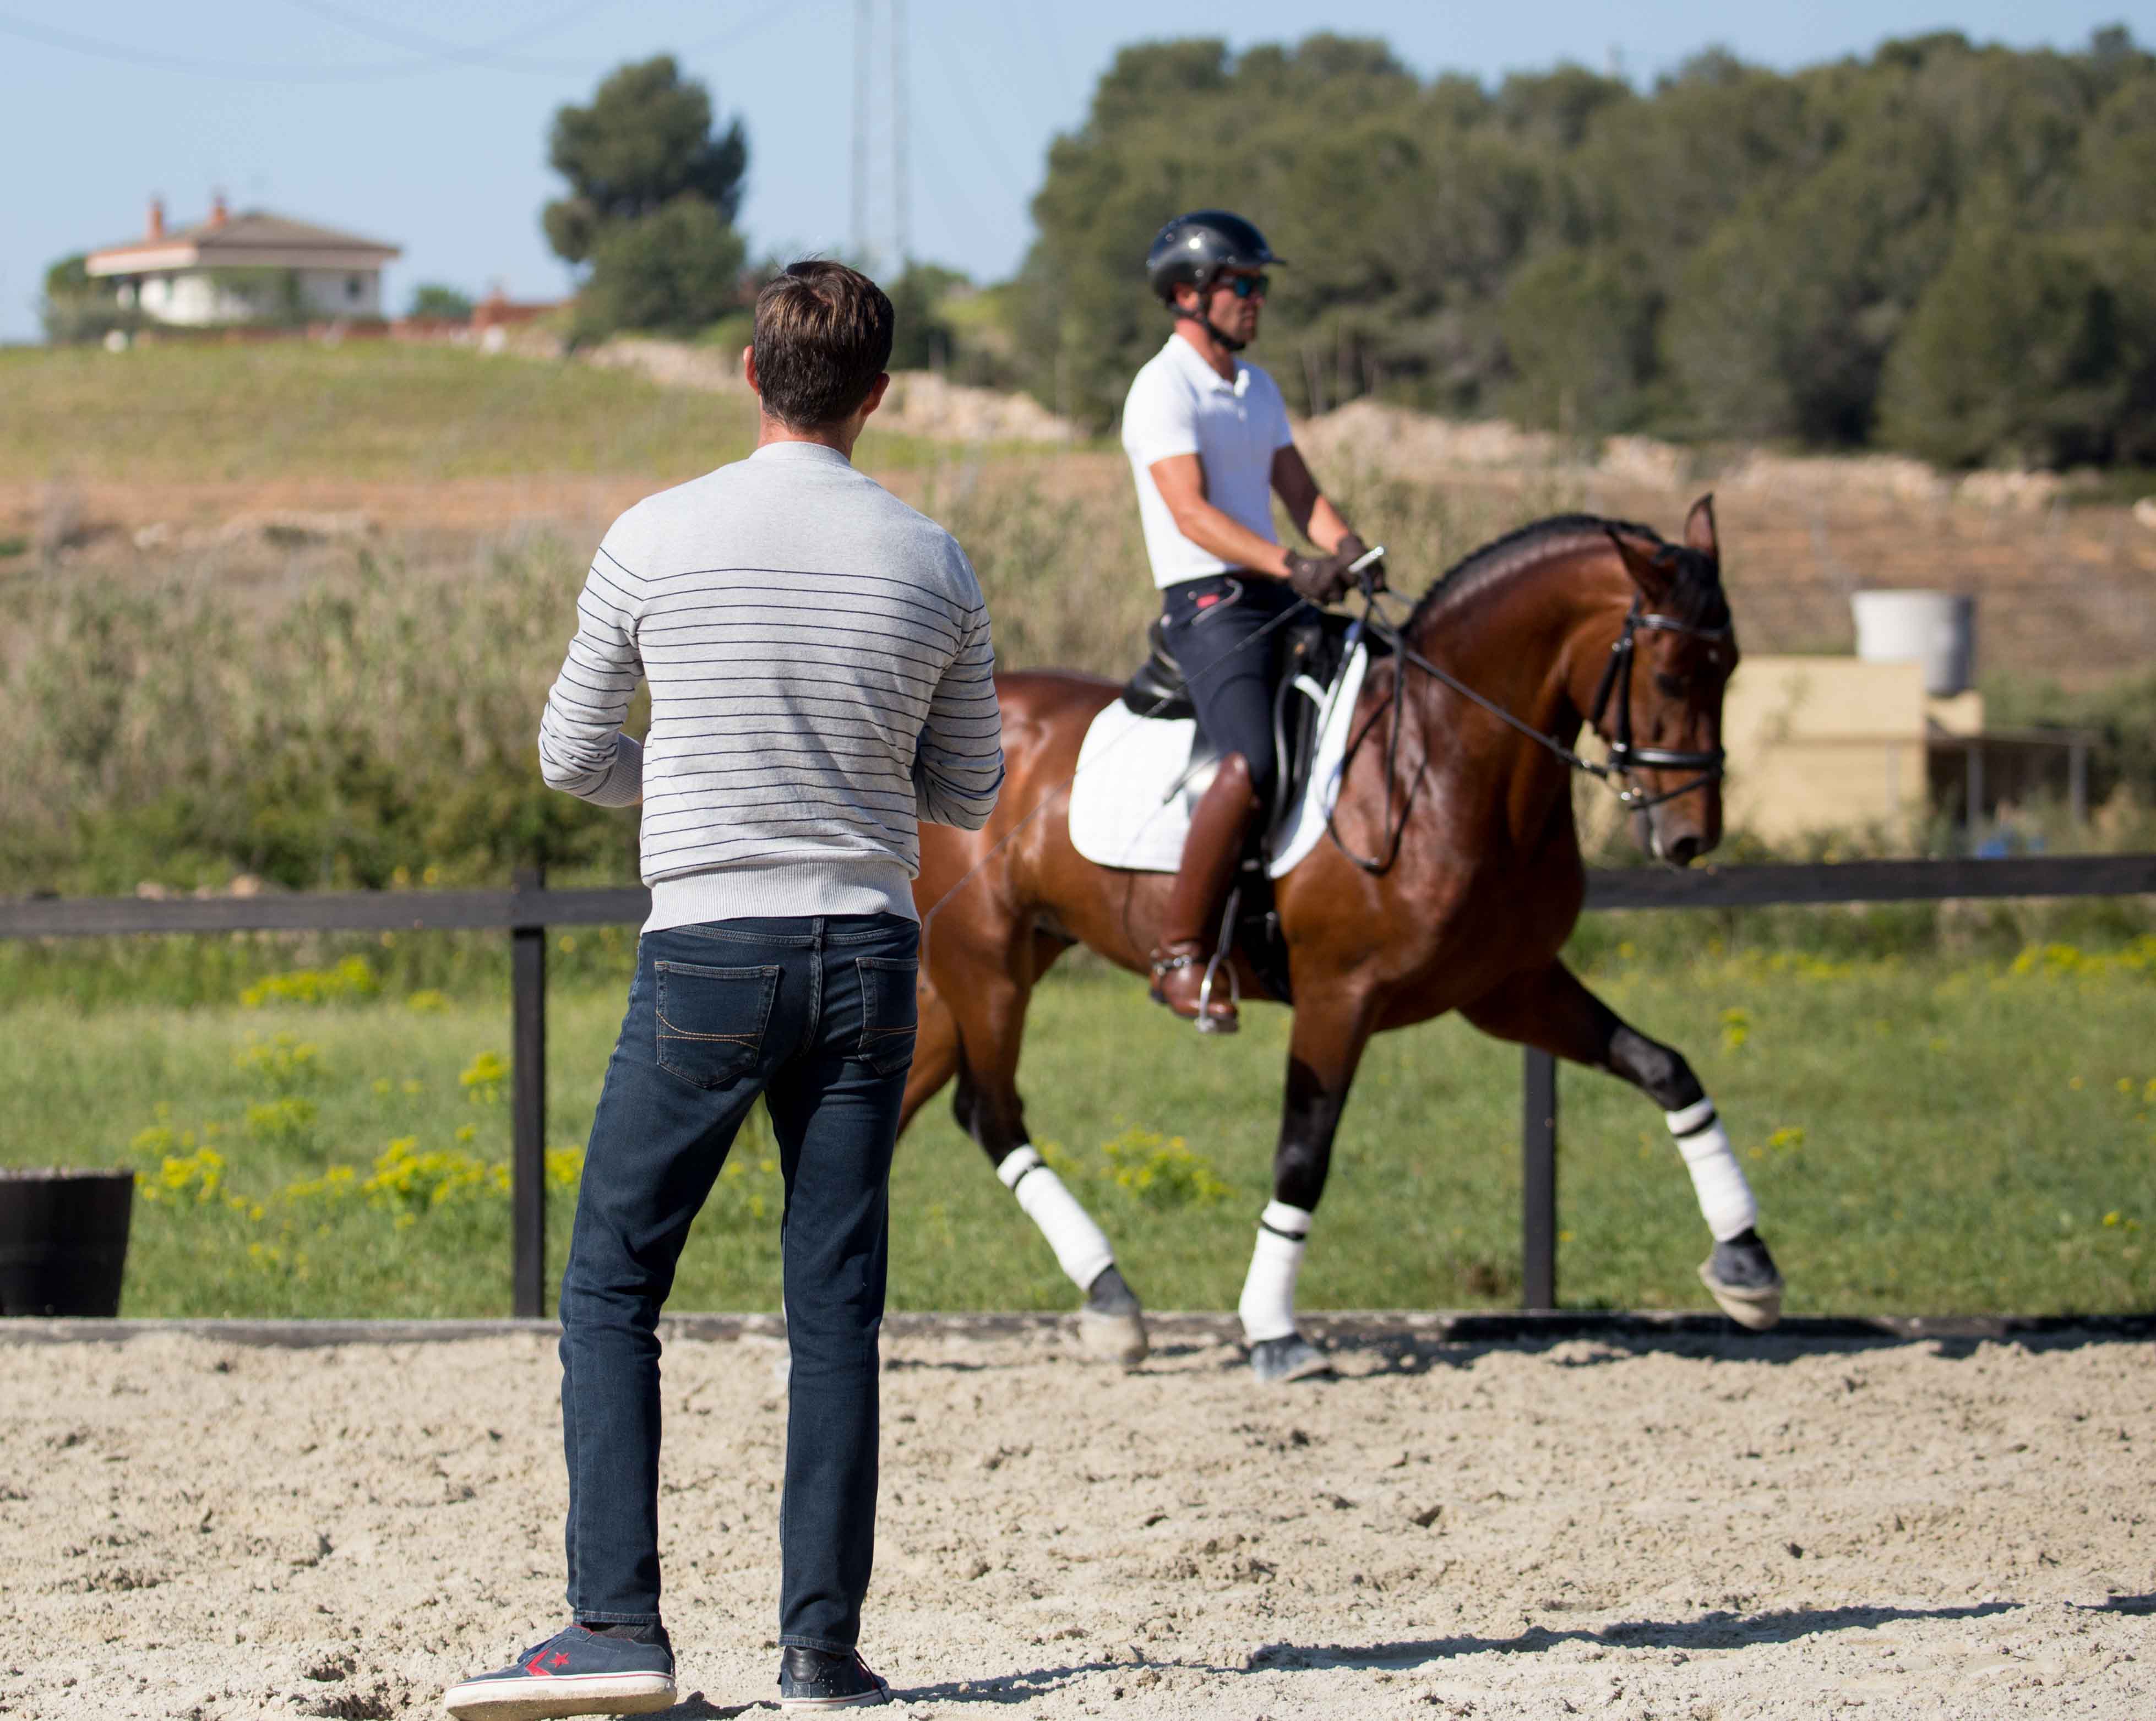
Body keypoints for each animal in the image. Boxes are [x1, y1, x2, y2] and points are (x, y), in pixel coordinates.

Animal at [892, 498, 1785, 1388]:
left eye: (1733, 667)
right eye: (1671, 674)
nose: (1690, 837)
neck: (1445, 760)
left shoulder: (1507, 986)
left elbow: (1665, 1068)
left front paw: (1746, 1264)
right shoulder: (1339, 994)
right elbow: (1303, 1155)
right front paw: (1274, 1331)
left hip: (976, 964)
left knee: (922, 1099)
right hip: (987, 962)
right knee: (992, 1111)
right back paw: (1112, 1301)